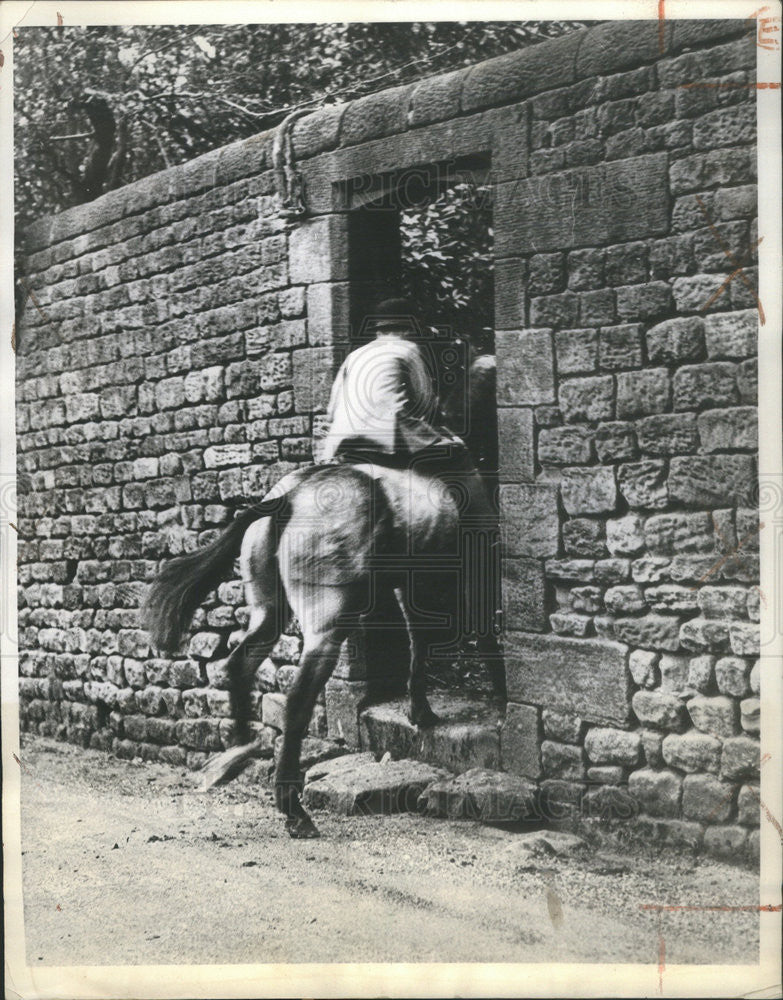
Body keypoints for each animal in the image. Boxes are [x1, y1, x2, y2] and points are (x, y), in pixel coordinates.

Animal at [144, 352, 502, 836]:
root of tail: (288, 497)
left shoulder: (407, 584)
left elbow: (418, 642)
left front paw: (420, 711)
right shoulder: (466, 575)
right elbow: (471, 633)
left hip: (270, 608)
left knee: (240, 663)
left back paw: (238, 749)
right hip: (327, 624)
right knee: (296, 702)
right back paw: (293, 809)